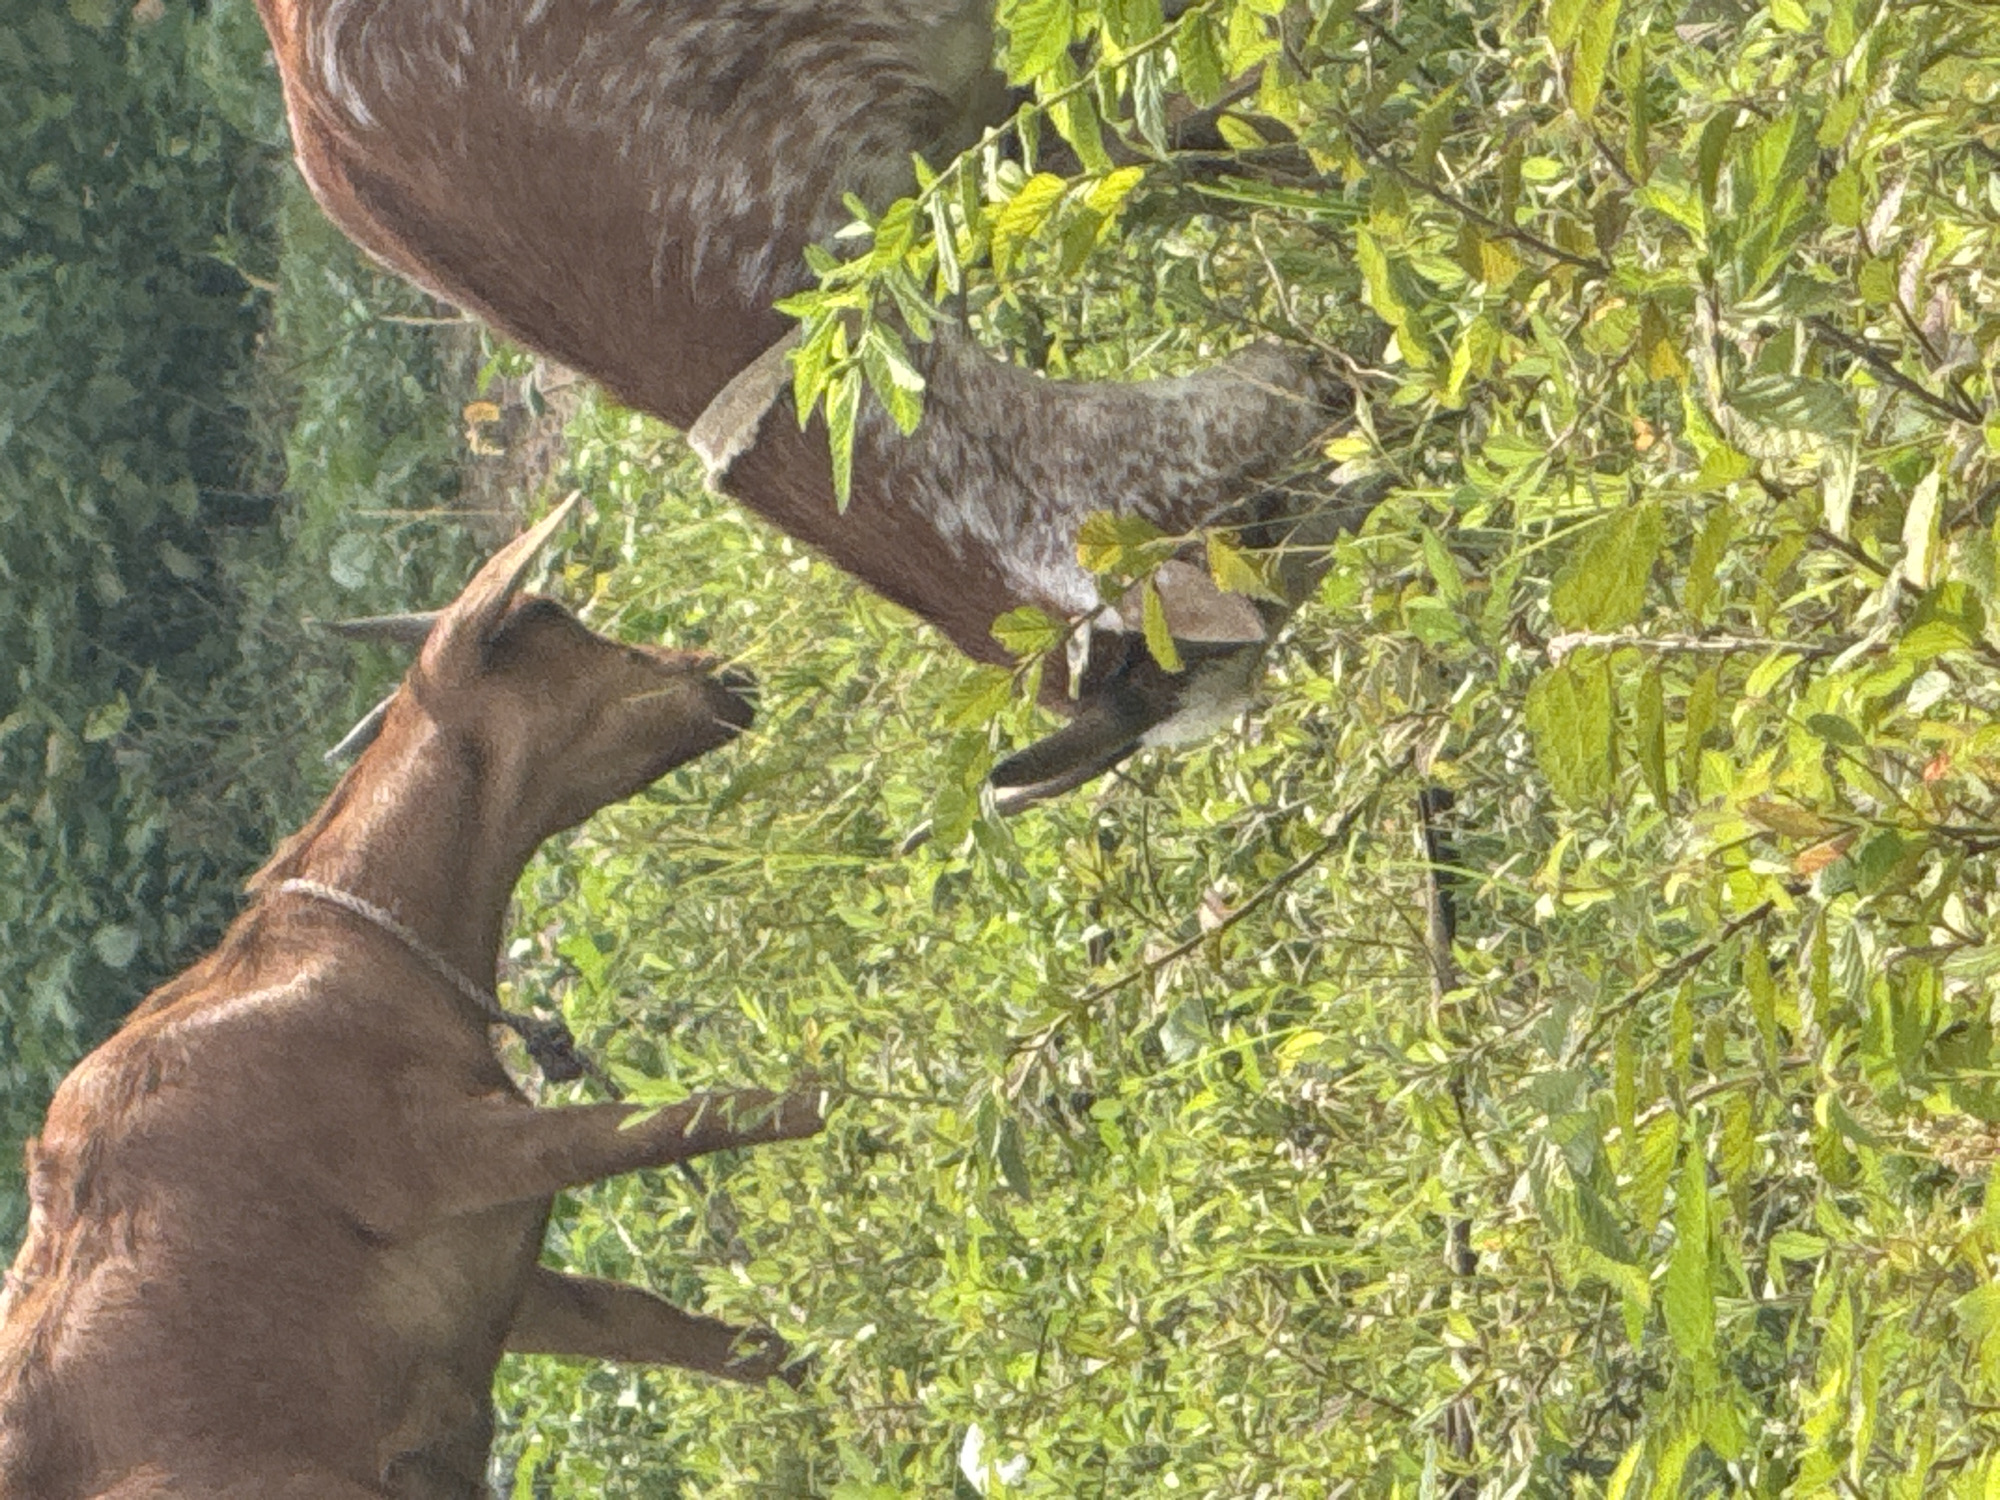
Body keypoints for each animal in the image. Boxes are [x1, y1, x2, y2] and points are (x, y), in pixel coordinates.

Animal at [0, 497, 825, 1500]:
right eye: (554, 622)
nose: (724, 674)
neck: (337, 956)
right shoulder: (446, 1152)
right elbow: (709, 1116)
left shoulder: (497, 1282)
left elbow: (689, 1333)